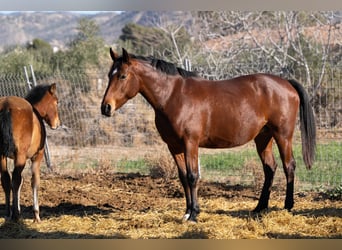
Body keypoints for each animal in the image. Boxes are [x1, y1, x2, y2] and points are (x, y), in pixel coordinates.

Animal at [0, 83, 59, 222]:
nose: (57, 124)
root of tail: (6, 105)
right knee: (15, 180)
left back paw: (8, 213)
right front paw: (36, 214)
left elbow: (21, 181)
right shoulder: (37, 157)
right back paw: (15, 216)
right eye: (56, 102)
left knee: (6, 179)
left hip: (2, 156)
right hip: (21, 155)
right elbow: (34, 181)